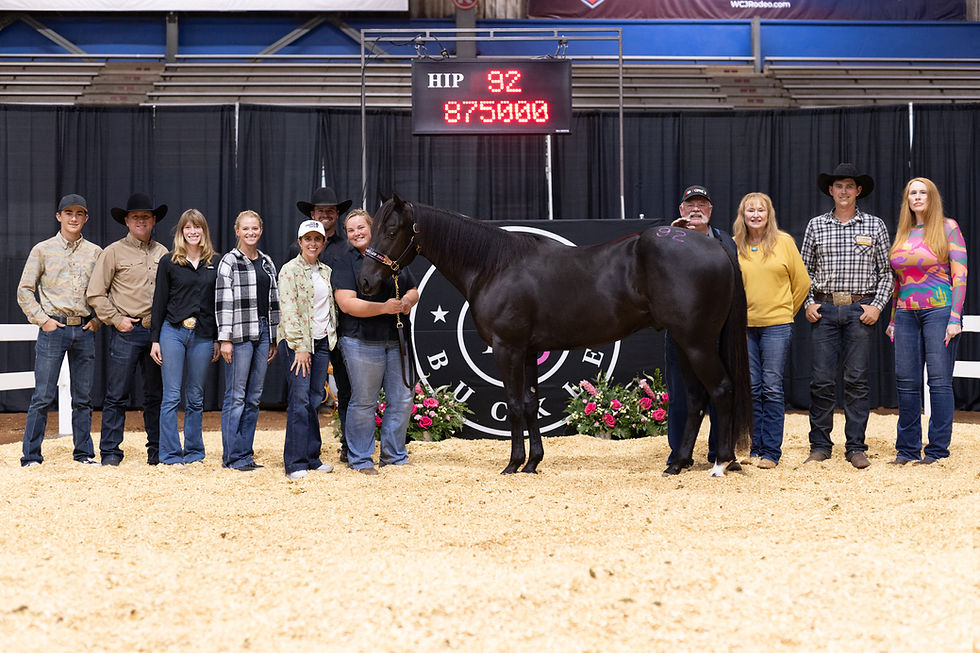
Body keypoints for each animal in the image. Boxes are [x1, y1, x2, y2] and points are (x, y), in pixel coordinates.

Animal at [359, 195, 752, 477]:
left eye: (391, 230)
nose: (365, 282)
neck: (494, 266)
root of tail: (713, 247)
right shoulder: (530, 351)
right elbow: (531, 403)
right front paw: (533, 462)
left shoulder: (507, 348)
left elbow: (515, 405)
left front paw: (513, 464)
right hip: (686, 343)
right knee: (697, 397)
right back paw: (678, 463)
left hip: (696, 342)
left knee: (720, 390)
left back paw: (721, 462)